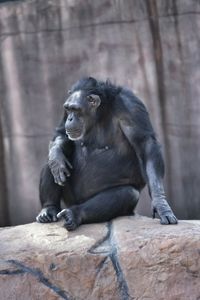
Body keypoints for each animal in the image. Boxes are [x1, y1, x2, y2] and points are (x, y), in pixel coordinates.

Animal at [36, 77, 177, 230]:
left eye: (76, 109)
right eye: (68, 109)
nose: (70, 118)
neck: (100, 112)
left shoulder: (131, 106)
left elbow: (146, 145)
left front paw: (161, 204)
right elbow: (61, 132)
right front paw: (57, 159)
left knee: (128, 194)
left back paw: (74, 214)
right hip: (69, 198)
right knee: (50, 161)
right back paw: (48, 209)